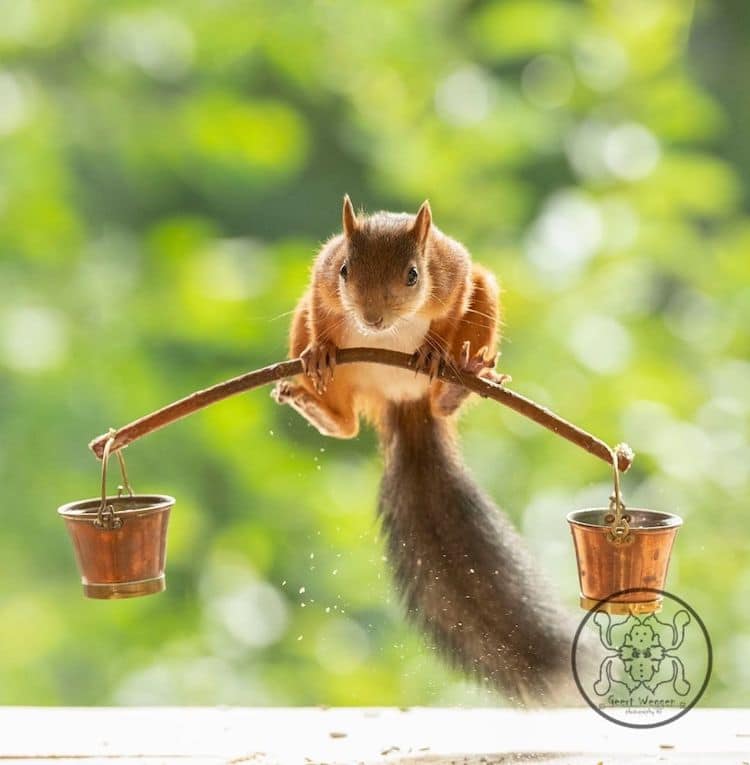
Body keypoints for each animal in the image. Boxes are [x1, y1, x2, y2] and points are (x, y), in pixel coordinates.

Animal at [276, 198, 576, 704]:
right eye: (345, 269)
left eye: (414, 275)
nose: (372, 318)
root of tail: (402, 399)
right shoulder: (320, 282)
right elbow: (319, 307)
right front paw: (320, 349)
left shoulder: (454, 274)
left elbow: (453, 304)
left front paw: (436, 351)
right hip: (321, 349)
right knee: (346, 423)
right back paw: (316, 402)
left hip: (483, 298)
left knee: (440, 390)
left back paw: (457, 381)